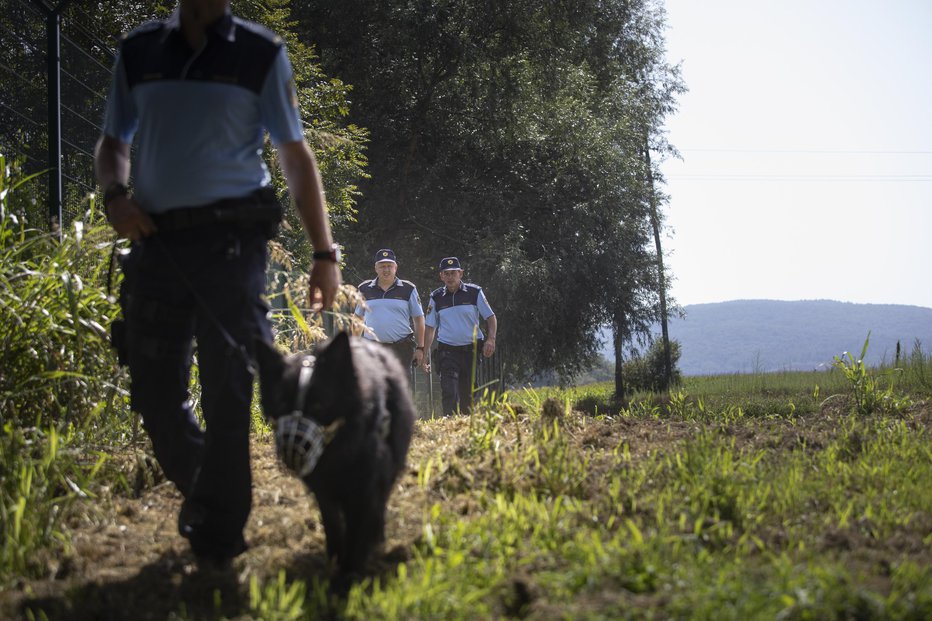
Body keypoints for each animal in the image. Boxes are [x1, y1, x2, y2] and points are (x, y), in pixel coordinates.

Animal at [255, 332, 416, 572]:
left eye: (319, 406)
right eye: (282, 405)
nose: (291, 451)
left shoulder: (365, 488)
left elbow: (358, 529)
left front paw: (348, 573)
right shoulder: (324, 491)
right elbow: (333, 525)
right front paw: (334, 560)